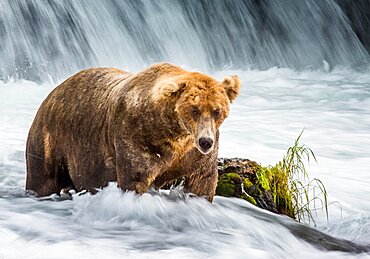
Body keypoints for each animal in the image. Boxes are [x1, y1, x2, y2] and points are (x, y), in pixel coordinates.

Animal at [25, 63, 240, 203]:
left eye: (217, 111)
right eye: (194, 110)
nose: (205, 141)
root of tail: (52, 92)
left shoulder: (191, 154)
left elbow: (202, 181)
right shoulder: (136, 136)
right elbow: (134, 179)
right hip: (50, 139)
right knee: (42, 178)